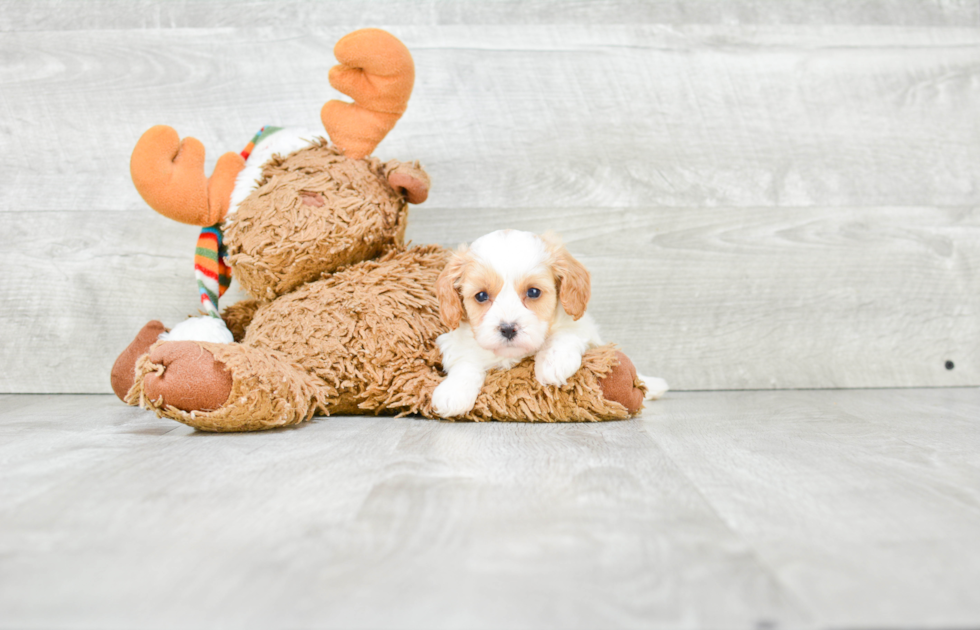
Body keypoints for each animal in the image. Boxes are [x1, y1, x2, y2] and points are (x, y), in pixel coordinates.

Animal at [434, 228, 668, 420]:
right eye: (481, 296)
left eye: (533, 292)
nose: (508, 329)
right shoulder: (457, 342)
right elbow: (466, 360)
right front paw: (454, 391)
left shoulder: (582, 326)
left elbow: (565, 333)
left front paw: (553, 362)